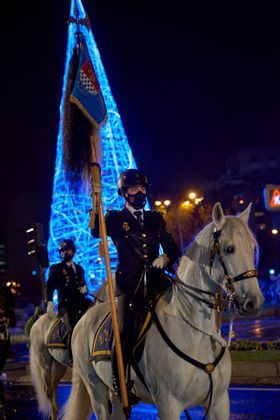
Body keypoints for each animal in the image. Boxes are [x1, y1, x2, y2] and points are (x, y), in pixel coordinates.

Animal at [62, 202, 264, 418]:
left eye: (252, 248)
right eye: (229, 249)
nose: (254, 302)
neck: (197, 334)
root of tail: (86, 316)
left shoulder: (219, 403)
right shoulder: (169, 405)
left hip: (116, 397)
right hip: (96, 391)